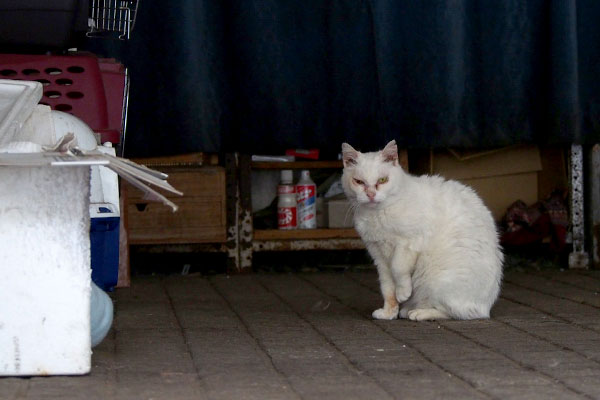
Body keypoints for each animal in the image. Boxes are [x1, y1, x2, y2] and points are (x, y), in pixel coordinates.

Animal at [342, 141, 502, 322]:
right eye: (358, 181)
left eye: (382, 180)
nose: (370, 194)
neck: (377, 214)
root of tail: (486, 307)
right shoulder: (379, 256)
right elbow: (387, 288)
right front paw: (389, 312)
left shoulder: (409, 243)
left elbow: (398, 268)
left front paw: (403, 292)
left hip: (438, 282)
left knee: (456, 313)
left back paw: (419, 313)